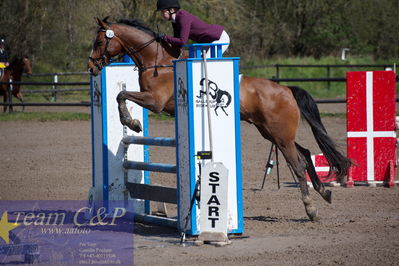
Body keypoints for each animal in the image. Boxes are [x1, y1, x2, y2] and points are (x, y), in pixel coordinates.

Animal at [87, 17, 354, 221]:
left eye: (99, 41)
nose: (90, 67)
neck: (158, 62)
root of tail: (287, 89)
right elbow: (120, 94)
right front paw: (131, 122)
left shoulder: (154, 101)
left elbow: (121, 94)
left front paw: (131, 122)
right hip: (272, 133)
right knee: (306, 154)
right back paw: (324, 193)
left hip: (280, 135)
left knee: (297, 165)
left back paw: (312, 210)